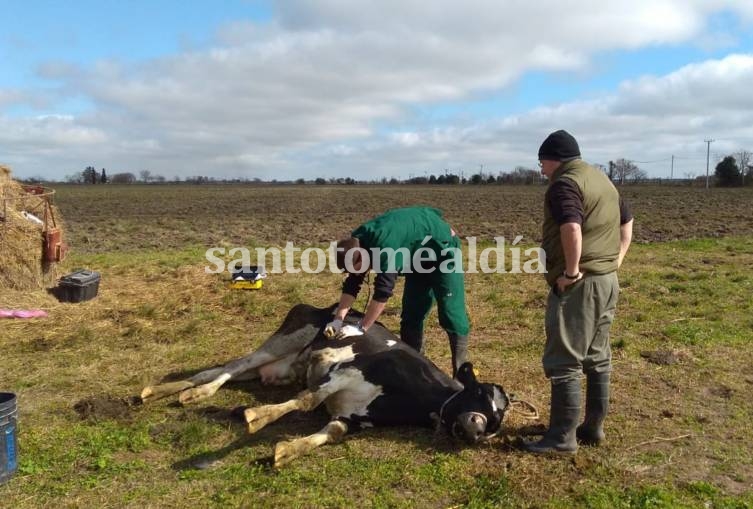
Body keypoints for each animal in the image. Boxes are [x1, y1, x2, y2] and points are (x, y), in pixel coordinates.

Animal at [140, 304, 512, 466]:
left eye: (496, 423)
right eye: (479, 393)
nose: (476, 429)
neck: (414, 397)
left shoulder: (353, 418)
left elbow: (330, 434)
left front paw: (288, 450)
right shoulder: (347, 370)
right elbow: (306, 400)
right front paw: (257, 416)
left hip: (280, 368)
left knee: (221, 369)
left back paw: (171, 391)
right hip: (284, 341)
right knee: (233, 367)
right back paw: (195, 392)